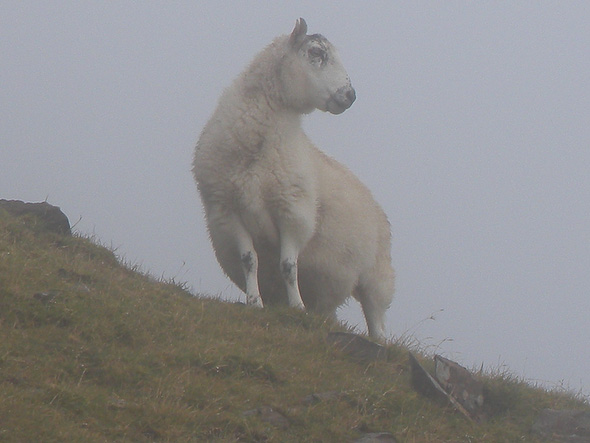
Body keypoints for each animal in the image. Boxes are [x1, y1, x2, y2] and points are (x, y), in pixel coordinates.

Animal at [193, 18, 394, 338]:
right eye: (316, 53)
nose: (350, 95)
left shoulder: (293, 212)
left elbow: (288, 266)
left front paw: (296, 307)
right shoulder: (228, 211)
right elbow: (250, 260)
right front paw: (255, 302)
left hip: (377, 277)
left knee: (376, 320)